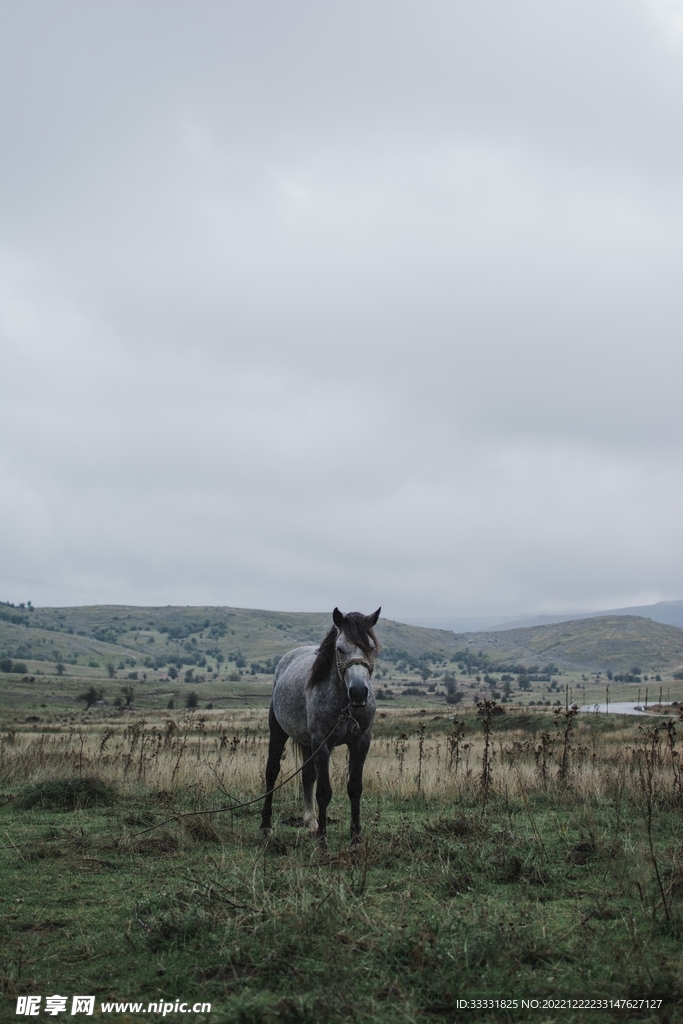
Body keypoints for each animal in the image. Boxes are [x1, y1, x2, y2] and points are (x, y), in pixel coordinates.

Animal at [260, 606, 381, 846]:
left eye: (371, 647)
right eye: (339, 648)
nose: (359, 692)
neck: (344, 703)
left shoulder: (361, 741)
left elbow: (354, 787)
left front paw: (355, 837)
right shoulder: (322, 743)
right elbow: (324, 791)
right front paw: (323, 841)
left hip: (308, 743)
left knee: (307, 775)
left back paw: (312, 823)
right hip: (279, 732)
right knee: (272, 772)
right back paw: (266, 825)